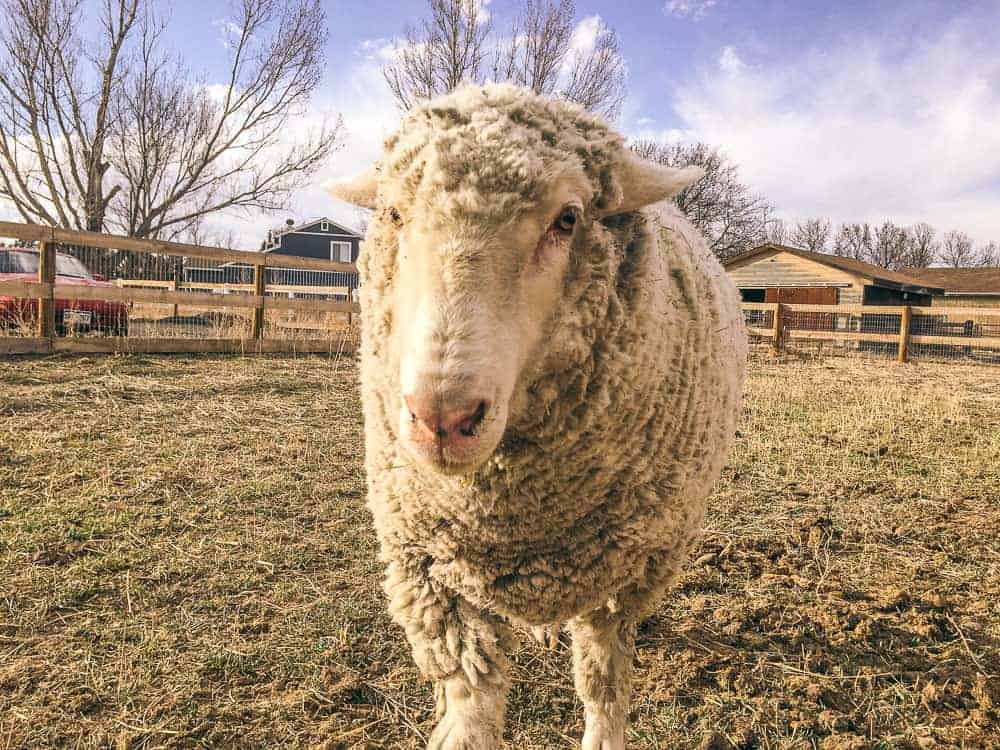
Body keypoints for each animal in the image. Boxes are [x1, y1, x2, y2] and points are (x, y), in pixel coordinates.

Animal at [332, 85, 748, 748]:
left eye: (569, 218)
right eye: (393, 214)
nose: (442, 417)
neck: (510, 514)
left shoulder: (622, 574)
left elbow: (603, 682)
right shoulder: (429, 571)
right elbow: (471, 699)